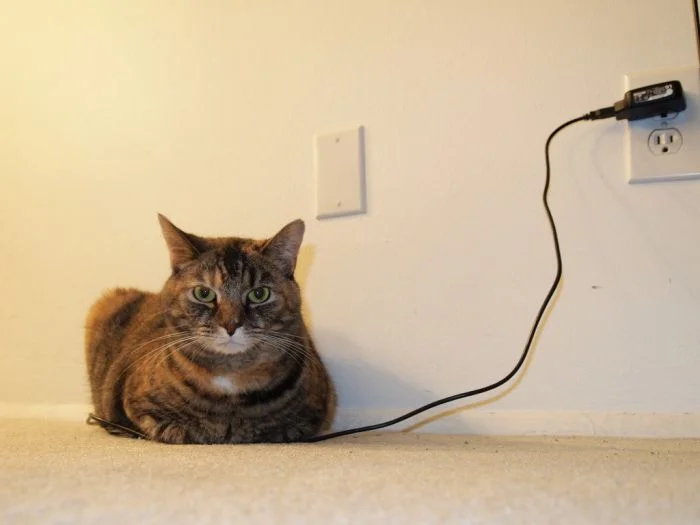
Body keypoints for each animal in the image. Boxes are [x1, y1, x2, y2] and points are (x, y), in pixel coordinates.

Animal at [85, 215, 336, 444]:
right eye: (203, 293)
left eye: (259, 294)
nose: (231, 324)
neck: (230, 376)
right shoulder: (139, 407)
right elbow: (173, 429)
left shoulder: (313, 414)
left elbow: (281, 428)